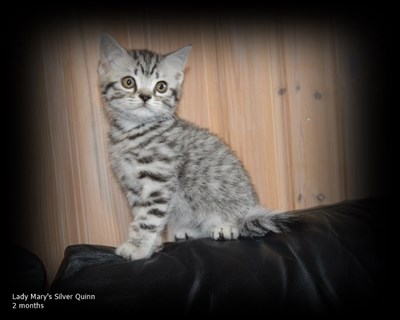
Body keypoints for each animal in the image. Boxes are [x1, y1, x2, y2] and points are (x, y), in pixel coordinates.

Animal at [97, 33, 290, 262]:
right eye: (128, 82)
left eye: (161, 87)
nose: (145, 96)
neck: (134, 132)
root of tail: (252, 208)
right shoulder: (132, 186)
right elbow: (140, 214)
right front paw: (153, 244)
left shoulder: (159, 181)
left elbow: (149, 216)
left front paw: (138, 247)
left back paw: (226, 226)